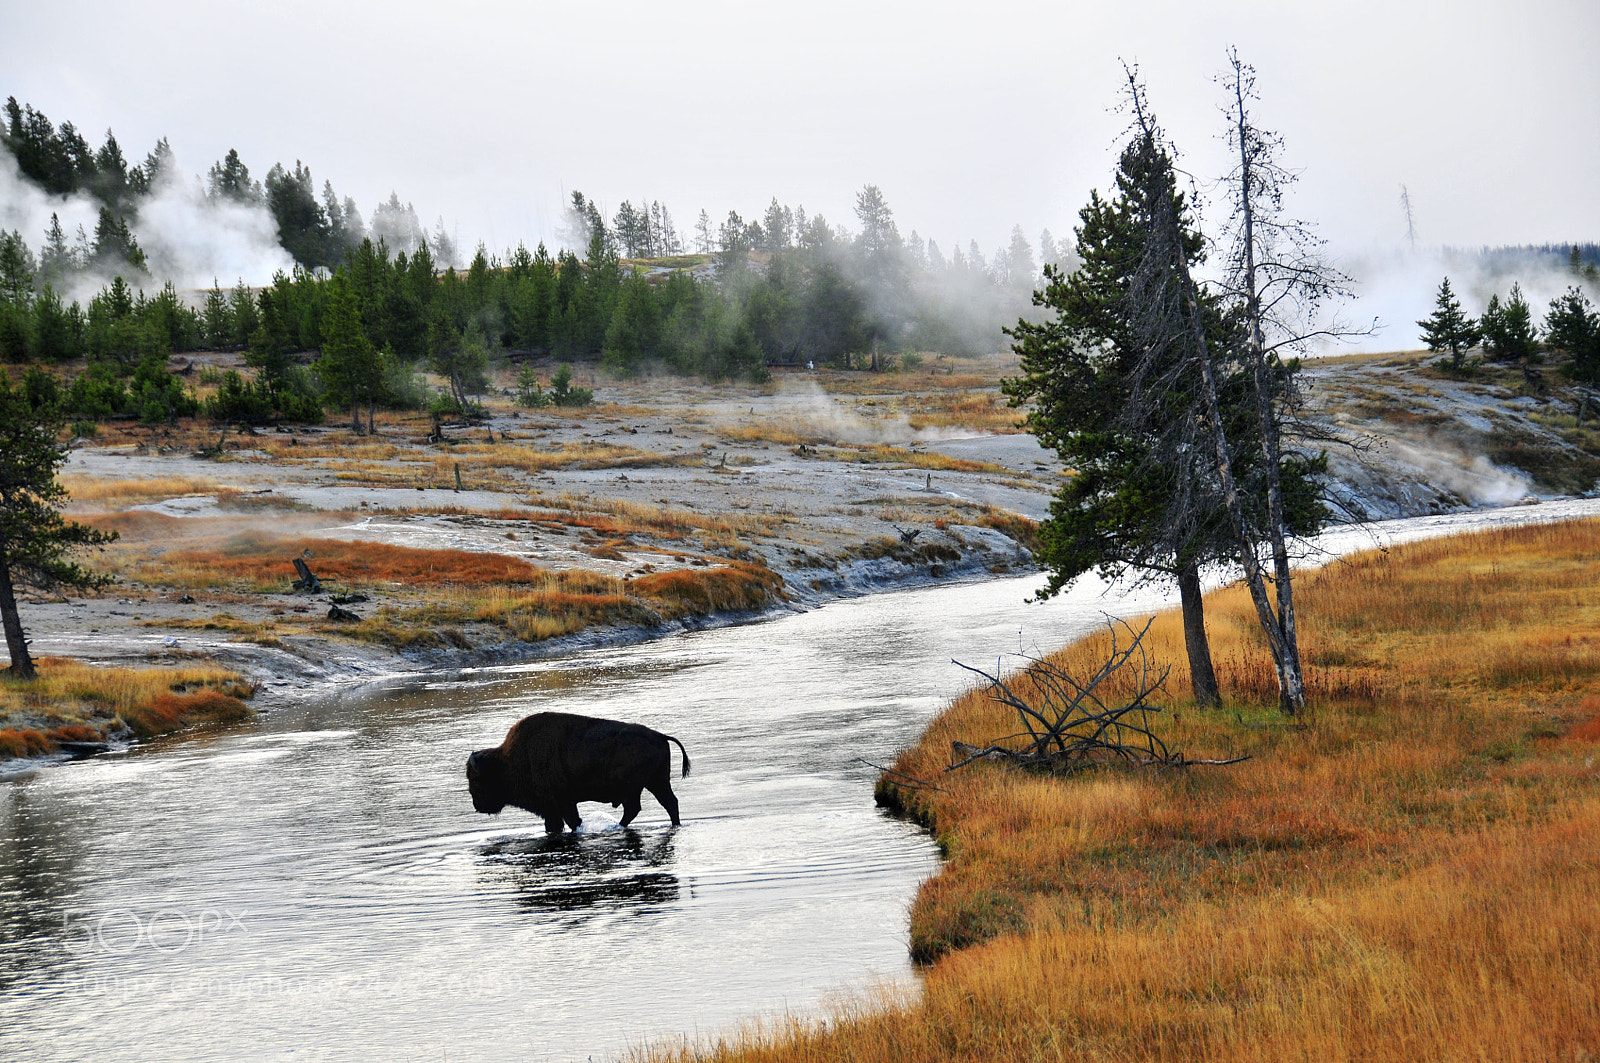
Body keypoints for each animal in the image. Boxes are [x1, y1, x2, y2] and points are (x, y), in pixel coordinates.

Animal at [466, 712, 691, 832]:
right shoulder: (553, 808)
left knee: (637, 808)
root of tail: (660, 735)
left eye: (476, 779)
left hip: (639, 787)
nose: (477, 805)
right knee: (668, 803)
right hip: (656, 782)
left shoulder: (562, 802)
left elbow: (572, 821)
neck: (507, 760)